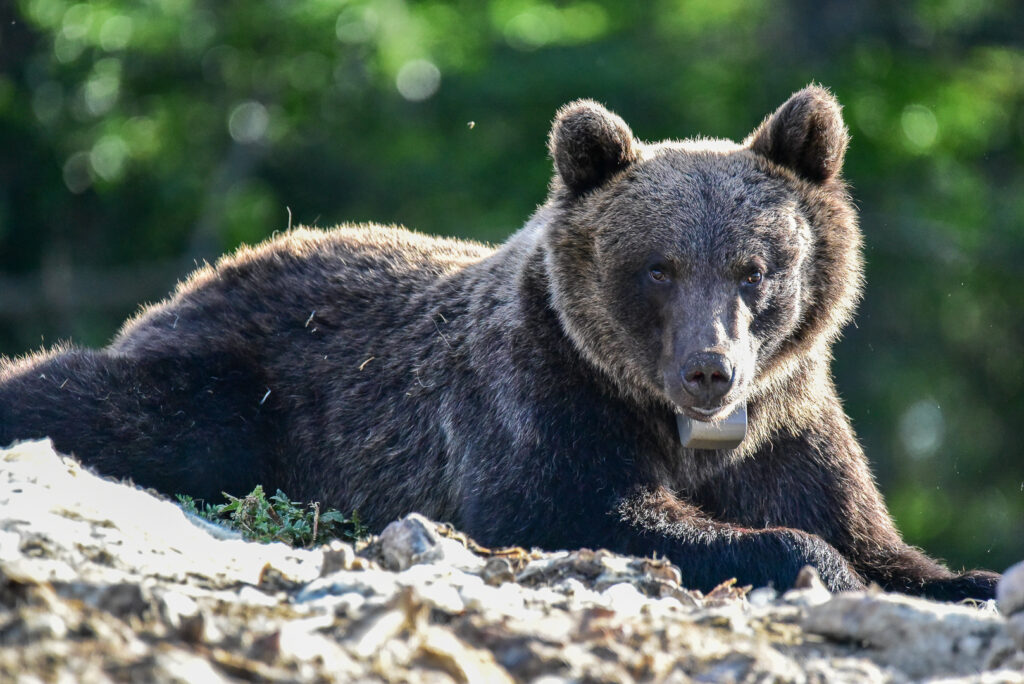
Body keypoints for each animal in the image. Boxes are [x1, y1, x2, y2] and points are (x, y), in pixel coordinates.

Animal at [0, 85, 995, 597]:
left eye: (755, 268)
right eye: (658, 268)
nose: (708, 372)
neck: (687, 432)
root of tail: (195, 279)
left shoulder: (789, 425)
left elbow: (873, 537)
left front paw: (964, 577)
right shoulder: (540, 397)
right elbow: (579, 505)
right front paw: (811, 562)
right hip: (245, 383)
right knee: (122, 404)